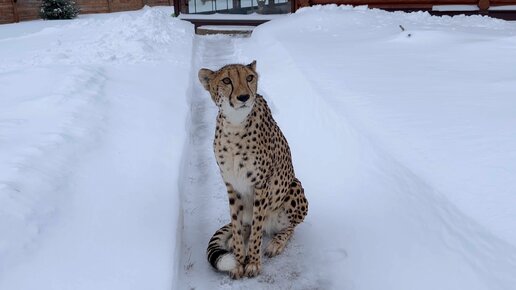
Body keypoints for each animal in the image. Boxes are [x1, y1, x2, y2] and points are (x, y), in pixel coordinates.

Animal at [199, 59, 308, 278]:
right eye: (226, 80)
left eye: (249, 77)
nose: (244, 97)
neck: (235, 126)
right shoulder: (232, 185)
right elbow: (236, 222)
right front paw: (238, 260)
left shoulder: (261, 185)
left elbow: (258, 227)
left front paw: (253, 263)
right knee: (244, 226)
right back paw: (235, 242)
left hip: (294, 185)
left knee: (290, 227)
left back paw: (276, 242)